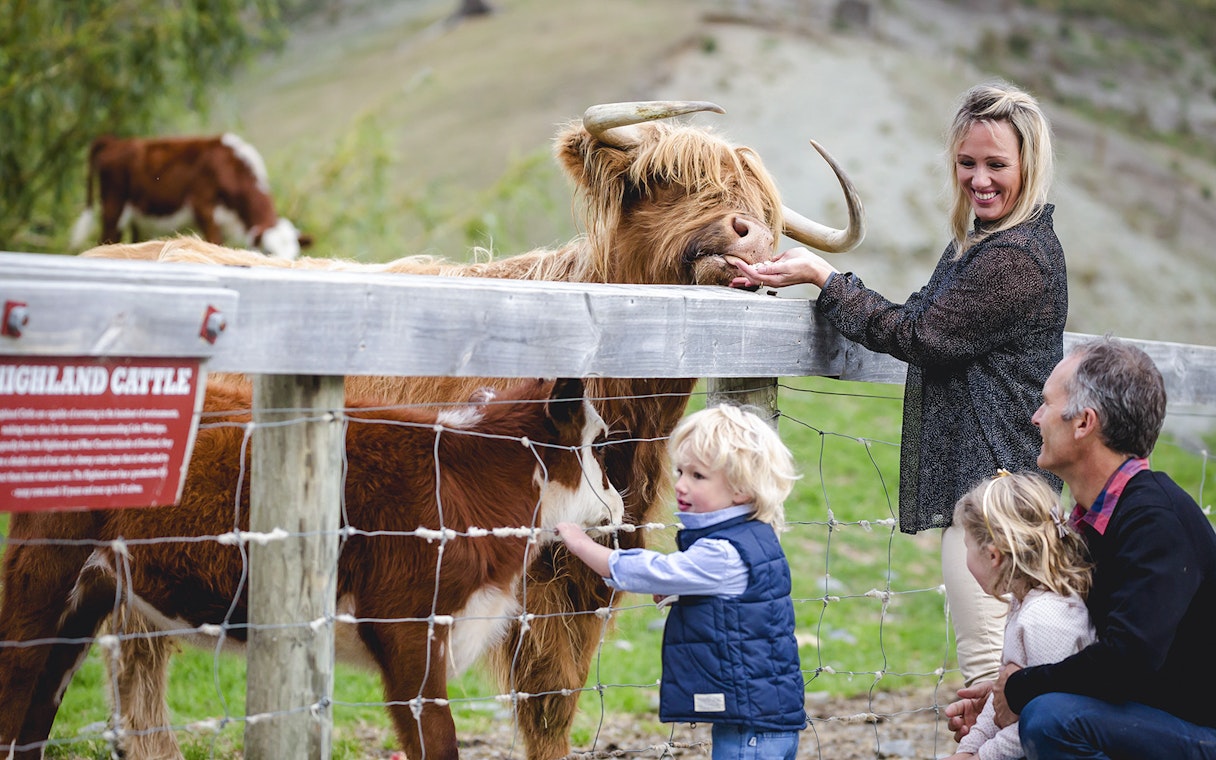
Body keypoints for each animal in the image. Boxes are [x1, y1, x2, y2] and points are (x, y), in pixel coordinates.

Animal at [0, 376, 623, 760]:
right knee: (16, 689)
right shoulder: (406, 629)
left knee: (36, 713)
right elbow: (437, 739)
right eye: (597, 445)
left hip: (88, 599)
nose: (620, 505)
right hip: (44, 574)